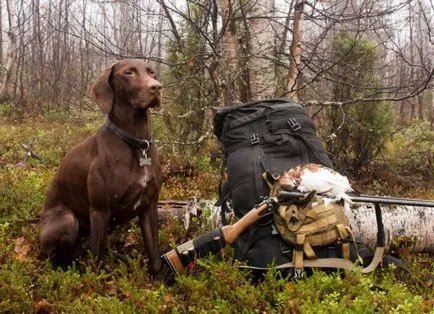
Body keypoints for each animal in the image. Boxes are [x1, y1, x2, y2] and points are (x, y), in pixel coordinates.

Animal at [39, 59, 164, 274]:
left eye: (151, 72)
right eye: (129, 72)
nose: (156, 87)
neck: (136, 143)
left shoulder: (149, 206)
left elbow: (155, 257)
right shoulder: (100, 211)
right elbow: (97, 261)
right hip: (67, 220)